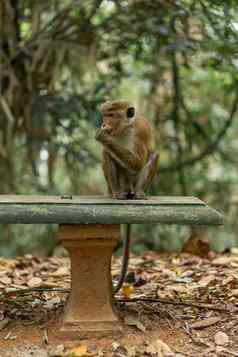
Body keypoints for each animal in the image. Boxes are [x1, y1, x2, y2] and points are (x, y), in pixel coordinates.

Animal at [95, 99, 158, 292]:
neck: (124, 127)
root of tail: (129, 188)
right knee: (107, 153)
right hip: (123, 182)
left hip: (136, 183)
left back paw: (139, 193)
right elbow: (107, 152)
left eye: (111, 115)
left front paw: (103, 136)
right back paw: (118, 193)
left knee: (152, 154)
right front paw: (104, 136)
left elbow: (137, 162)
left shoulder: (140, 131)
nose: (104, 123)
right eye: (105, 114)